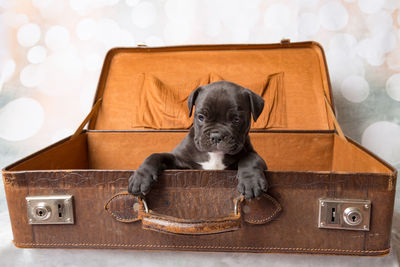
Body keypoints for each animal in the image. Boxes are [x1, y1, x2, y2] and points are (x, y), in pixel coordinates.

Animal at [126, 80, 268, 200]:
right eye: (201, 117)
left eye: (236, 120)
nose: (216, 136)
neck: (214, 155)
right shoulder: (179, 161)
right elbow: (155, 155)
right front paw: (141, 177)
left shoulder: (256, 157)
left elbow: (250, 158)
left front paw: (251, 182)